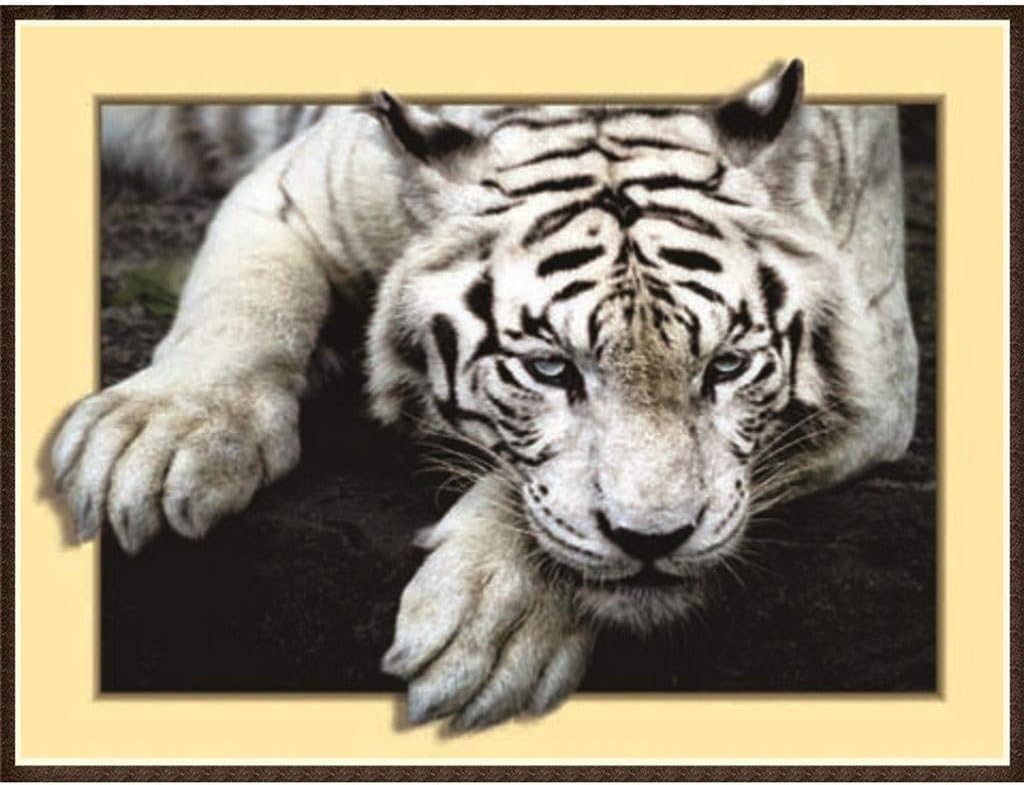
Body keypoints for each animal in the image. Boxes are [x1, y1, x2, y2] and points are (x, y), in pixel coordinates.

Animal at [52, 60, 918, 731]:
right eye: (550, 369)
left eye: (728, 366)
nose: (655, 538)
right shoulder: (294, 192)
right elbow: (241, 310)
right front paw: (156, 442)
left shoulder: (876, 370)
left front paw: (490, 623)